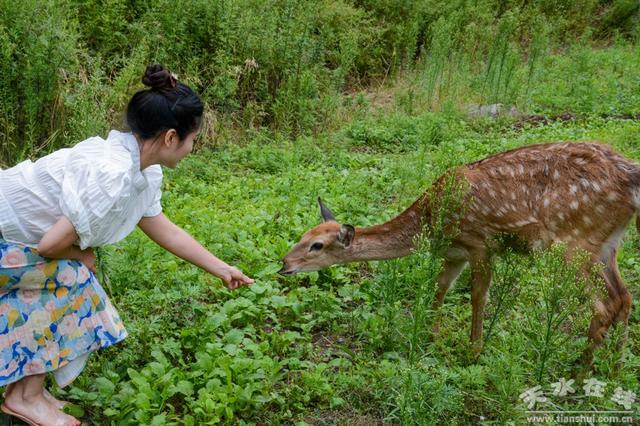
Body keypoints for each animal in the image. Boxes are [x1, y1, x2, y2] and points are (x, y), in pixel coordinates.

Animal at [282, 141, 640, 362]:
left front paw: (474, 350)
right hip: (608, 244)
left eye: (317, 246)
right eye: (301, 236)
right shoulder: (454, 252)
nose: (284, 264)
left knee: (603, 305)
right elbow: (440, 287)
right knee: (624, 297)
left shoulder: (480, 242)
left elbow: (478, 296)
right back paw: (614, 369)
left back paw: (580, 374)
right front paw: (429, 335)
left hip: (573, 242)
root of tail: (630, 177)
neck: (431, 221)